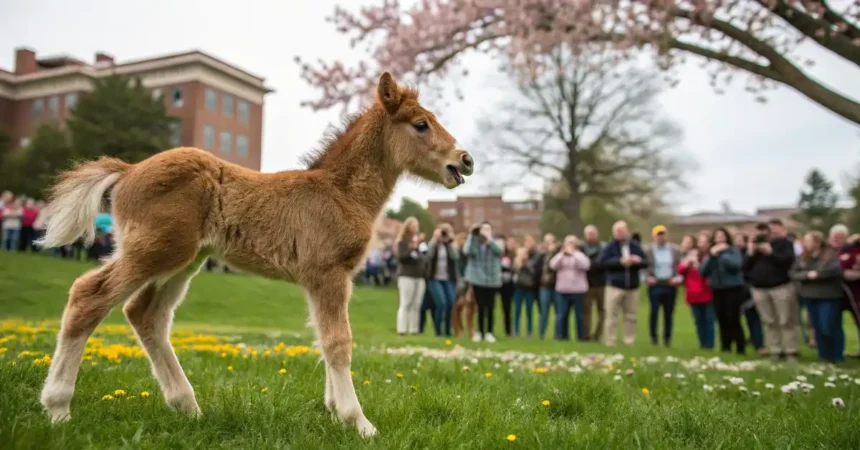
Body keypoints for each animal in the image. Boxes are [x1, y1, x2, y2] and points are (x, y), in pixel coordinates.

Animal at [36, 72, 474, 437]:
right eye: (421, 124)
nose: (465, 160)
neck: (340, 191)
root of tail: (128, 170)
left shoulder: (323, 280)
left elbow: (323, 338)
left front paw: (334, 411)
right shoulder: (328, 273)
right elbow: (338, 342)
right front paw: (358, 421)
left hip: (185, 259)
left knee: (146, 314)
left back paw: (188, 406)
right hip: (155, 250)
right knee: (89, 295)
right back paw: (58, 407)